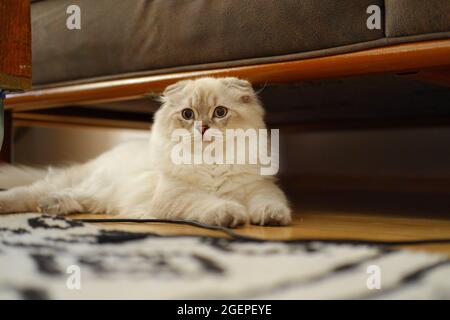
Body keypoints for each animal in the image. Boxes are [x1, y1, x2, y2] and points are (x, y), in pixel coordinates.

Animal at [0, 77, 292, 228]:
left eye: (220, 112)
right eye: (188, 114)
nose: (202, 128)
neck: (211, 164)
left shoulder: (259, 188)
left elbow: (269, 203)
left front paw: (272, 218)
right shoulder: (176, 196)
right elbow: (209, 203)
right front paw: (230, 214)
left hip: (92, 194)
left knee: (72, 197)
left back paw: (55, 205)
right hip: (74, 180)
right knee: (26, 193)